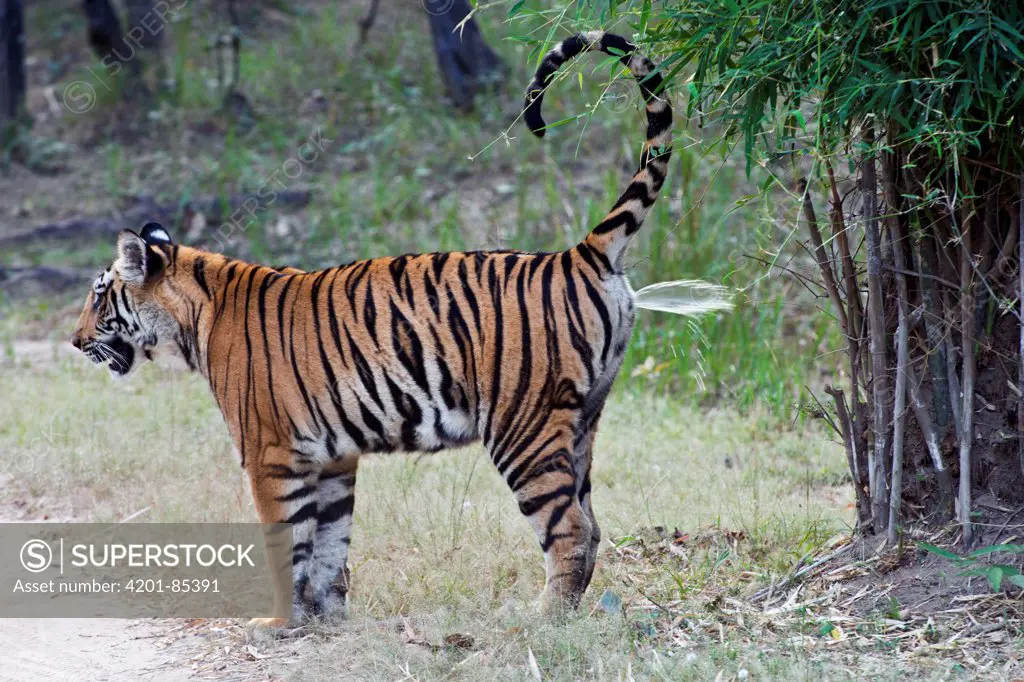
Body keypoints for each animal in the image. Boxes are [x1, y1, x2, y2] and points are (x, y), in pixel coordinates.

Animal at [72, 31, 671, 626]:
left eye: (99, 295)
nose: (74, 342)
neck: (194, 318)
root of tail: (578, 254)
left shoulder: (270, 453)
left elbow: (286, 547)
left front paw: (278, 623)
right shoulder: (331, 457)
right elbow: (329, 544)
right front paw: (326, 619)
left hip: (524, 428)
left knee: (568, 528)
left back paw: (542, 616)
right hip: (582, 423)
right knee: (591, 524)